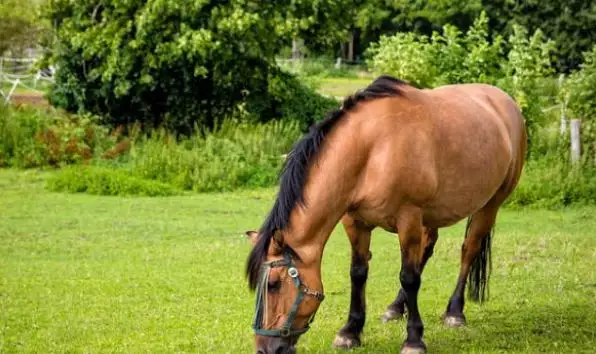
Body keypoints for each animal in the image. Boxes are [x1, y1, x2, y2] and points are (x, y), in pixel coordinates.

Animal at [242, 75, 528, 354]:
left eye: (274, 284)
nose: (264, 349)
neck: (373, 149)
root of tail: (506, 103)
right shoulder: (355, 221)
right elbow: (358, 273)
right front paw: (350, 332)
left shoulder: (408, 218)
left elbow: (409, 277)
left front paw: (414, 340)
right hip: (432, 215)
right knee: (427, 250)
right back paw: (396, 308)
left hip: (490, 205)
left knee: (468, 250)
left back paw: (454, 312)